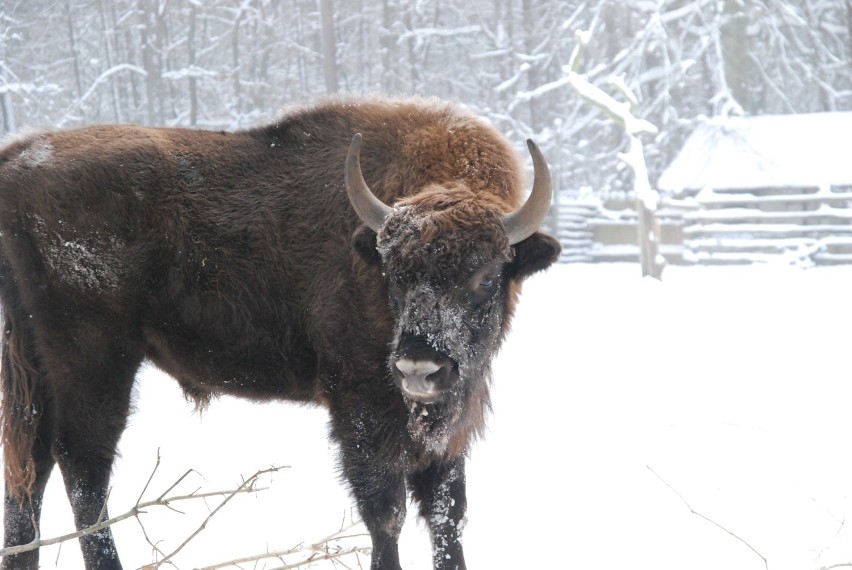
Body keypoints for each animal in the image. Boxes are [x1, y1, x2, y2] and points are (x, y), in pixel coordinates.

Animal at [0, 95, 564, 564]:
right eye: (392, 273)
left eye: (487, 276)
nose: (419, 369)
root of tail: (17, 161)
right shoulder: (362, 410)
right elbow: (386, 516)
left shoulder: (449, 429)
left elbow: (447, 518)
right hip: (95, 362)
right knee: (83, 469)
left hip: (36, 368)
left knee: (30, 470)